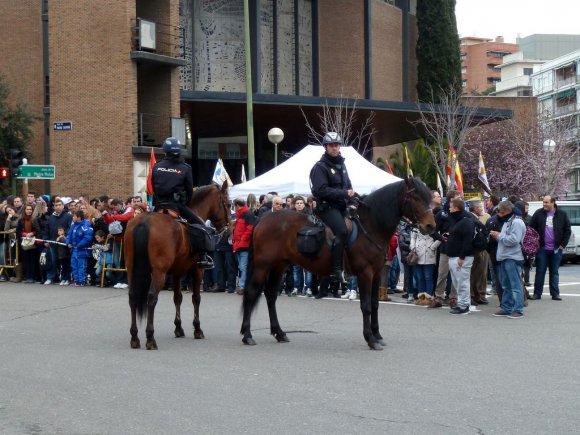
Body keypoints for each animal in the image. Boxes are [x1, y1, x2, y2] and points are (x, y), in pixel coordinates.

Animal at [125, 181, 230, 350]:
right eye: (228, 203)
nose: (227, 230)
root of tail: (144, 221)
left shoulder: (176, 273)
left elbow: (177, 298)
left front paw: (178, 328)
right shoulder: (197, 271)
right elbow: (196, 298)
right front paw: (197, 329)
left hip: (132, 270)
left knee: (133, 297)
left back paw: (135, 337)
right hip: (159, 273)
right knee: (151, 298)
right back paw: (150, 338)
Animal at [240, 177, 436, 350]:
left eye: (428, 198)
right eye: (415, 197)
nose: (431, 226)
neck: (370, 226)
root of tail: (263, 219)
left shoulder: (377, 273)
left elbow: (375, 304)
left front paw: (377, 335)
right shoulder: (365, 273)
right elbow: (366, 306)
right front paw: (370, 339)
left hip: (279, 266)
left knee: (271, 295)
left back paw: (279, 333)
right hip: (262, 266)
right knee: (251, 293)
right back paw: (247, 335)